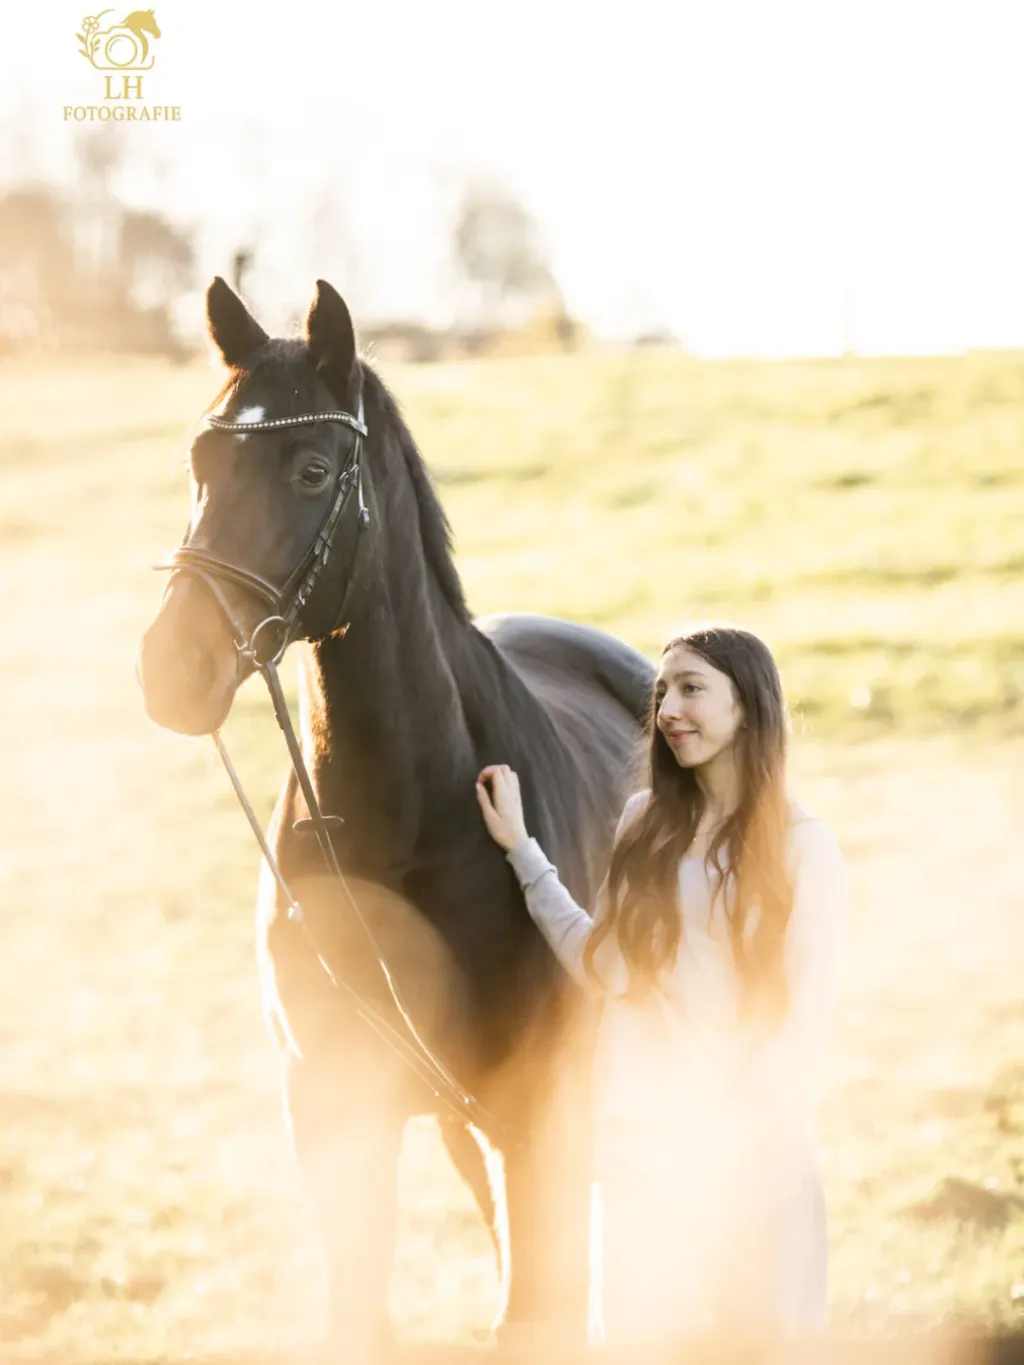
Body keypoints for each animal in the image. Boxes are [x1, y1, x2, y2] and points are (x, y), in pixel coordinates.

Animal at [137, 276, 654, 1360]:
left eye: (312, 468)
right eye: (201, 460)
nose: (171, 667)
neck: (411, 827)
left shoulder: (539, 1109)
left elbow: (538, 1308)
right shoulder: (337, 1114)